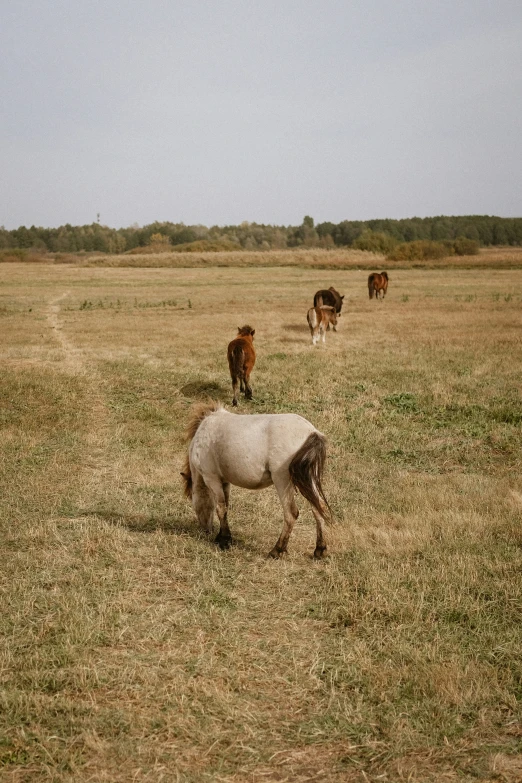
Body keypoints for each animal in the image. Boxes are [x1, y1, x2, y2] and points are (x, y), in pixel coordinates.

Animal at [181, 404, 332, 556]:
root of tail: (311, 432)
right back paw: (320, 549)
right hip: (309, 480)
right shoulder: (225, 482)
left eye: (192, 501)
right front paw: (222, 537)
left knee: (291, 513)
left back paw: (277, 550)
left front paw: (224, 540)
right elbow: (226, 506)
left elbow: (220, 508)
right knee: (318, 508)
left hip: (282, 480)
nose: (206, 530)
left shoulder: (212, 479)